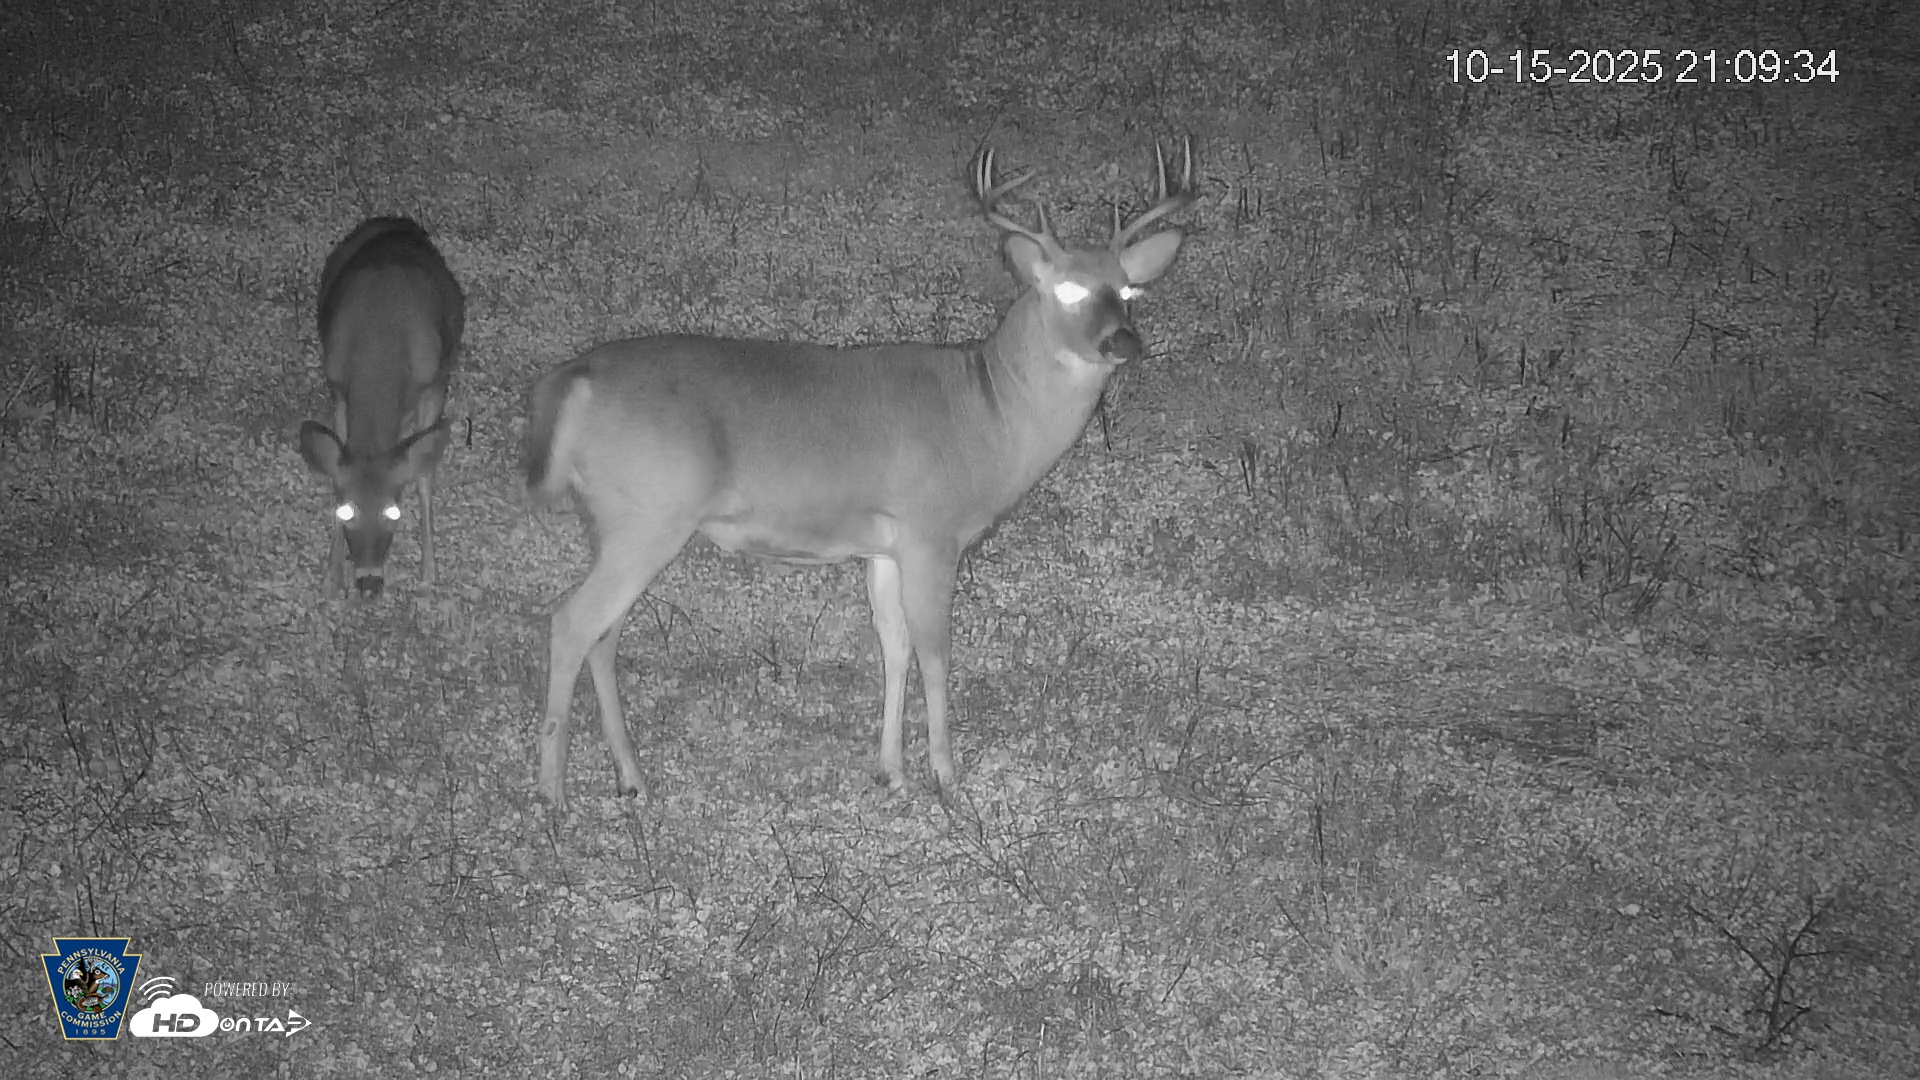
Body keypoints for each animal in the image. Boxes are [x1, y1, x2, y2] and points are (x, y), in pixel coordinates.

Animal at [299, 217, 464, 599]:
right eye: (345, 511)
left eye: (394, 512)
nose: (369, 584)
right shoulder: (338, 386)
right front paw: (332, 577)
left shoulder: (433, 385)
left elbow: (422, 475)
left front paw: (429, 572)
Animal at [522, 141, 1194, 808]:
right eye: (1069, 290)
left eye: (1128, 290)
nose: (1123, 342)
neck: (989, 414)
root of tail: (573, 380)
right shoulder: (931, 532)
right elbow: (934, 652)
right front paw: (946, 776)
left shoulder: (884, 546)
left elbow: (893, 648)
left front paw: (890, 770)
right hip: (649, 516)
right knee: (571, 623)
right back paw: (553, 793)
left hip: (612, 521)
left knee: (603, 634)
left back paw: (630, 778)